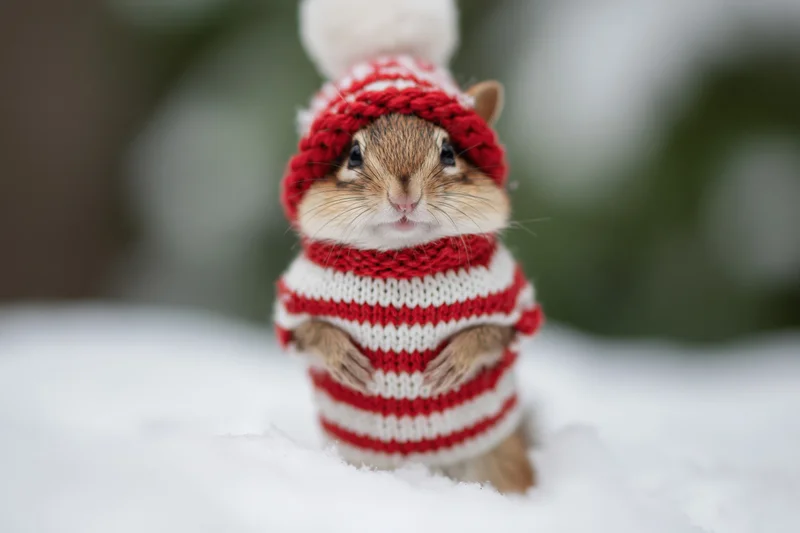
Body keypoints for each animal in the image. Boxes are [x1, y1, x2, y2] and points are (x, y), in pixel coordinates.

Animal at [274, 0, 544, 494]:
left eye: (450, 153)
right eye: (353, 155)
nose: (404, 196)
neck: (402, 262)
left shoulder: (509, 298)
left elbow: (493, 333)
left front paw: (455, 361)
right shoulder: (298, 299)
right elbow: (308, 332)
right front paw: (344, 359)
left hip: (498, 461)